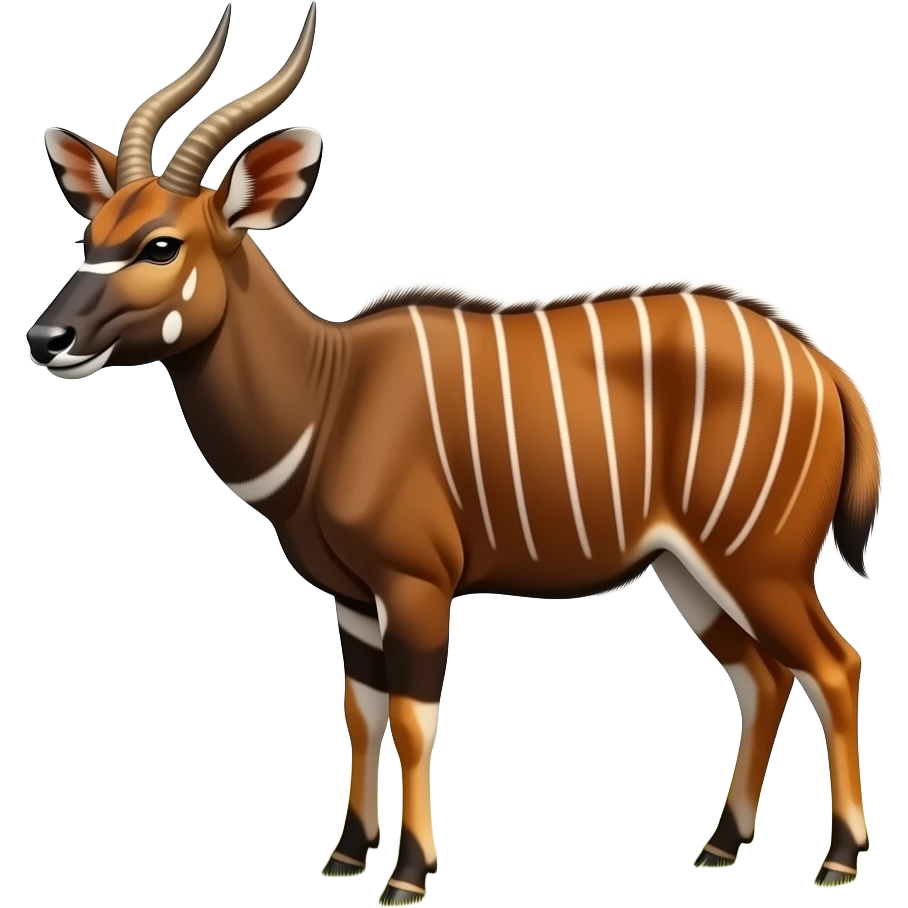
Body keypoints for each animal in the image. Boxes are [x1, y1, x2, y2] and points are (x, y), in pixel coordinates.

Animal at [28, 3, 881, 903]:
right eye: (91, 233)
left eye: (160, 244)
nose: (47, 339)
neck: (329, 397)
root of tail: (828, 370)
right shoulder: (353, 601)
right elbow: (360, 712)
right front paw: (345, 855)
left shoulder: (415, 585)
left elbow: (411, 718)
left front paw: (407, 874)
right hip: (692, 569)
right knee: (763, 675)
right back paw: (720, 844)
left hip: (762, 561)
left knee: (834, 665)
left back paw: (837, 860)